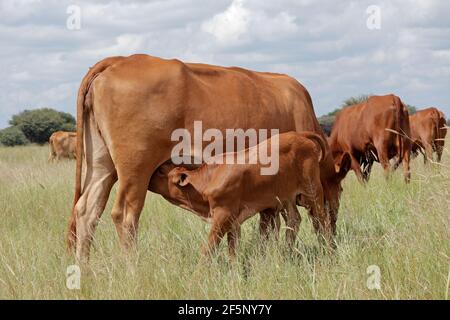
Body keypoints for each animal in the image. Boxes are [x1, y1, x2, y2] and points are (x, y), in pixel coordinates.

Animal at [67, 53, 352, 262]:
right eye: (340, 188)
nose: (336, 226)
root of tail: (118, 60)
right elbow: (275, 225)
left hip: (103, 165)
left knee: (86, 210)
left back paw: (84, 267)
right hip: (135, 169)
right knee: (125, 216)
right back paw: (132, 267)